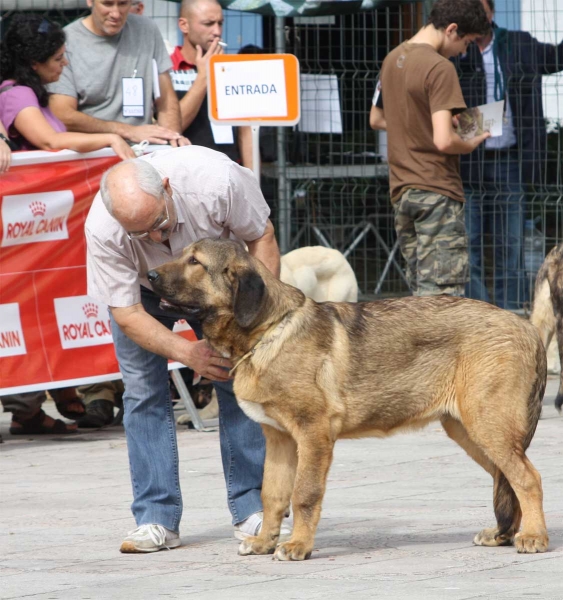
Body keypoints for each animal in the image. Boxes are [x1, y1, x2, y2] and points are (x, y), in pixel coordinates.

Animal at [149, 237, 552, 560]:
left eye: (195, 261)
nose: (149, 276)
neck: (268, 331)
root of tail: (526, 326)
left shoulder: (312, 435)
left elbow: (304, 494)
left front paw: (298, 546)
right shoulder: (279, 440)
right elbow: (273, 496)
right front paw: (264, 542)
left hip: (488, 425)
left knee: (528, 478)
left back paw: (533, 536)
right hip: (468, 430)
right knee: (506, 479)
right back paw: (503, 535)